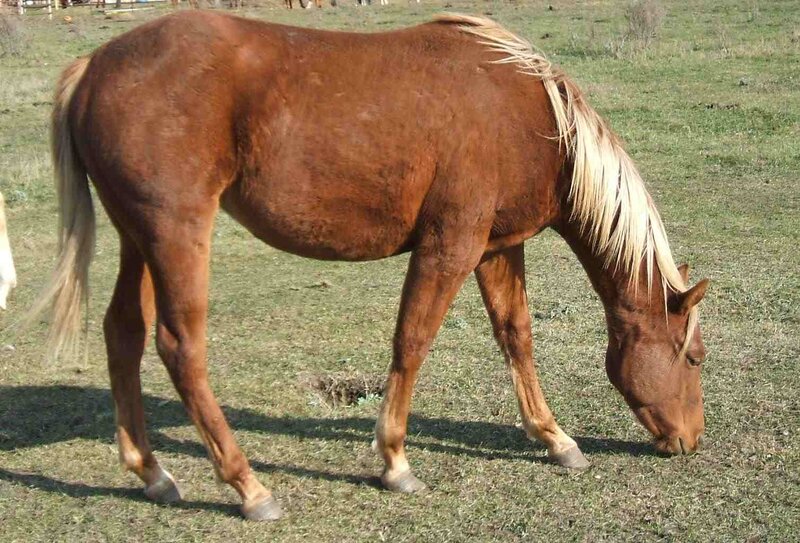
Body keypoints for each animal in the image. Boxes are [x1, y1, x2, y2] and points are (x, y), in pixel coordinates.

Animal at [33, 12, 709, 521]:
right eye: (695, 357)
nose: (689, 440)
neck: (532, 117)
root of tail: (92, 67)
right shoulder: (450, 246)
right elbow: (412, 341)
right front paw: (395, 462)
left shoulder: (496, 247)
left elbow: (516, 337)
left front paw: (556, 439)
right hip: (175, 234)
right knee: (180, 347)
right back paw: (249, 488)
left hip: (137, 239)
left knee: (123, 333)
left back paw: (152, 472)